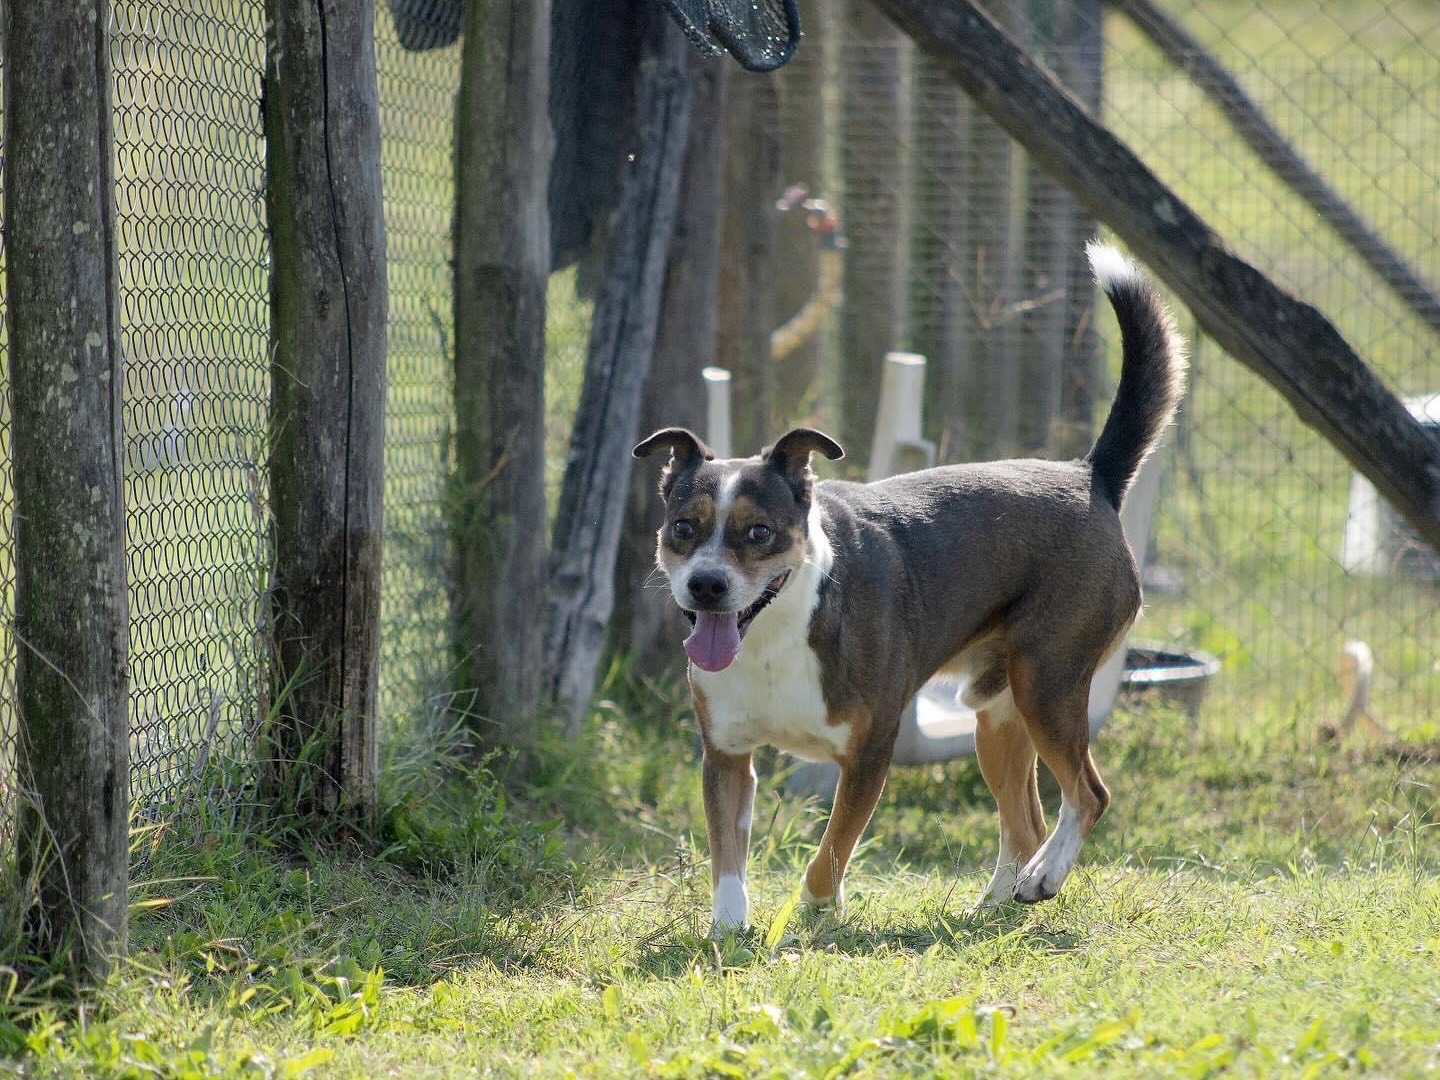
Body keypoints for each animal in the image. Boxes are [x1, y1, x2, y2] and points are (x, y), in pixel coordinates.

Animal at [636, 243, 1186, 933]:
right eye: (683, 528)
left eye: (758, 532)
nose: (706, 585)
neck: (773, 634)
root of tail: (1091, 476)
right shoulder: (728, 757)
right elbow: (729, 857)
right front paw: (730, 930)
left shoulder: (870, 753)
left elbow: (831, 850)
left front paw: (815, 912)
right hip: (997, 714)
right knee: (1024, 824)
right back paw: (1001, 901)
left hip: (1049, 683)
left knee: (1086, 795)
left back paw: (1045, 877)